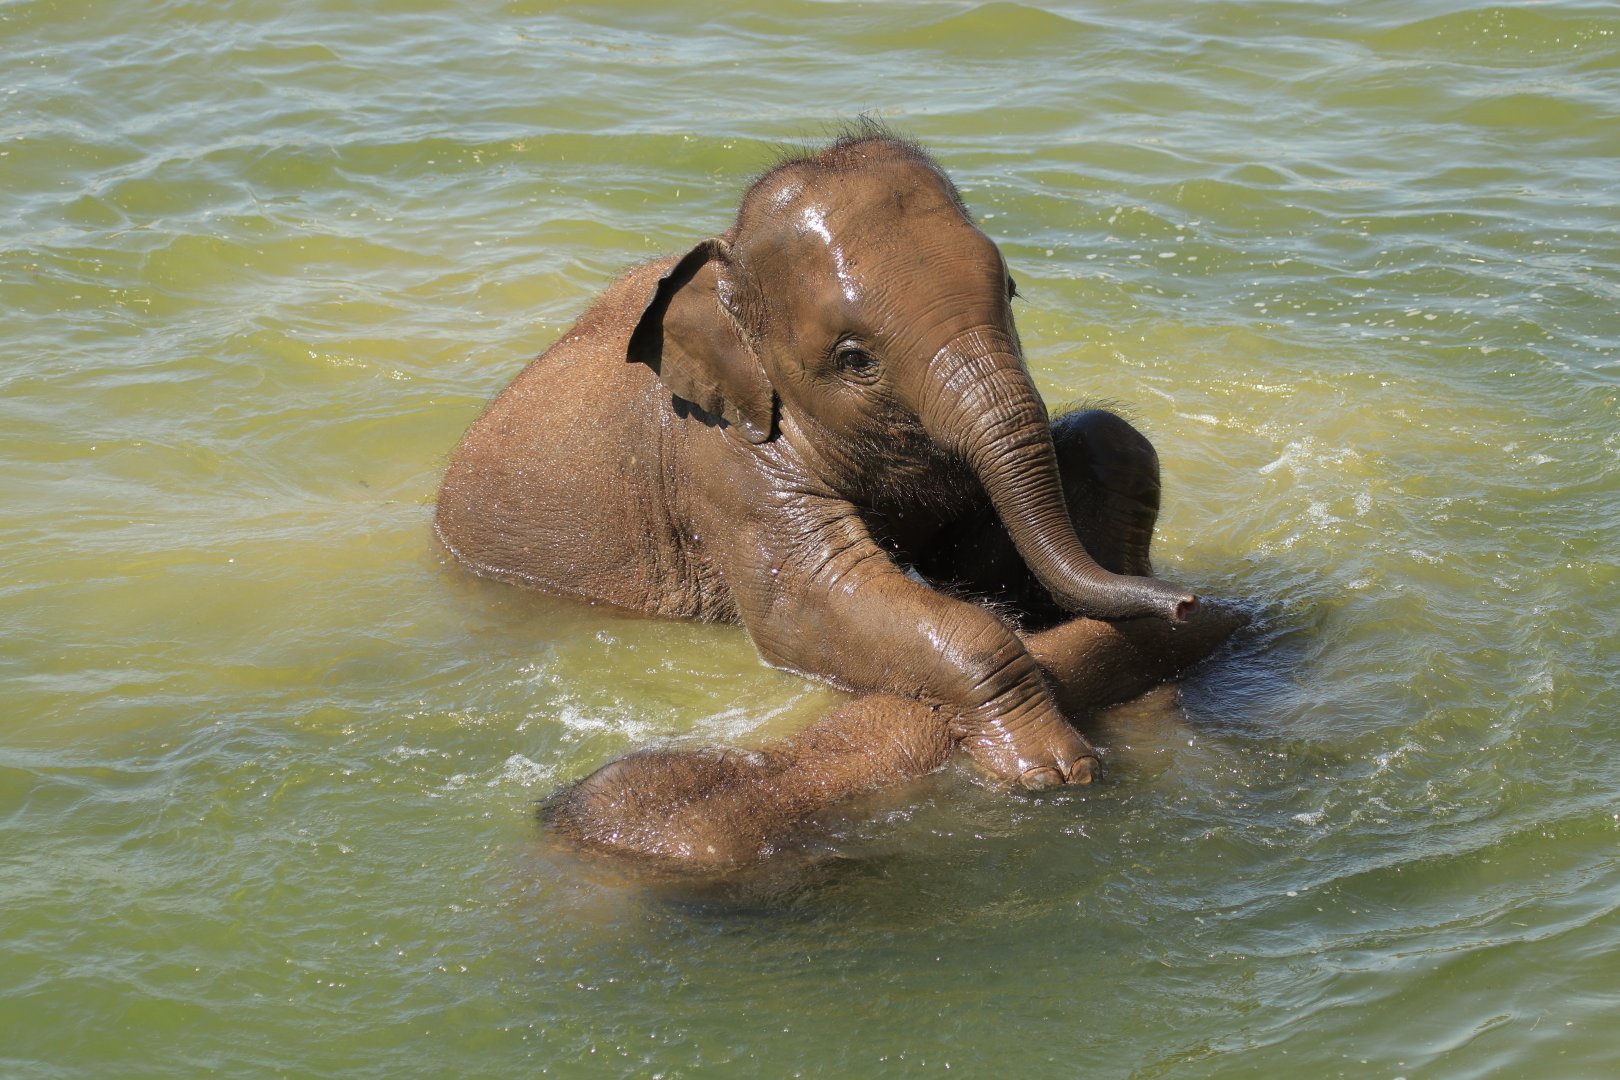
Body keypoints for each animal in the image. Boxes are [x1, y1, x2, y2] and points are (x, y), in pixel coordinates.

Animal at [436, 127, 1215, 800]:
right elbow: (811, 600)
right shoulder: (722, 462)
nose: (1185, 603)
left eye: (1013, 292)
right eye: (853, 359)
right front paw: (1053, 770)